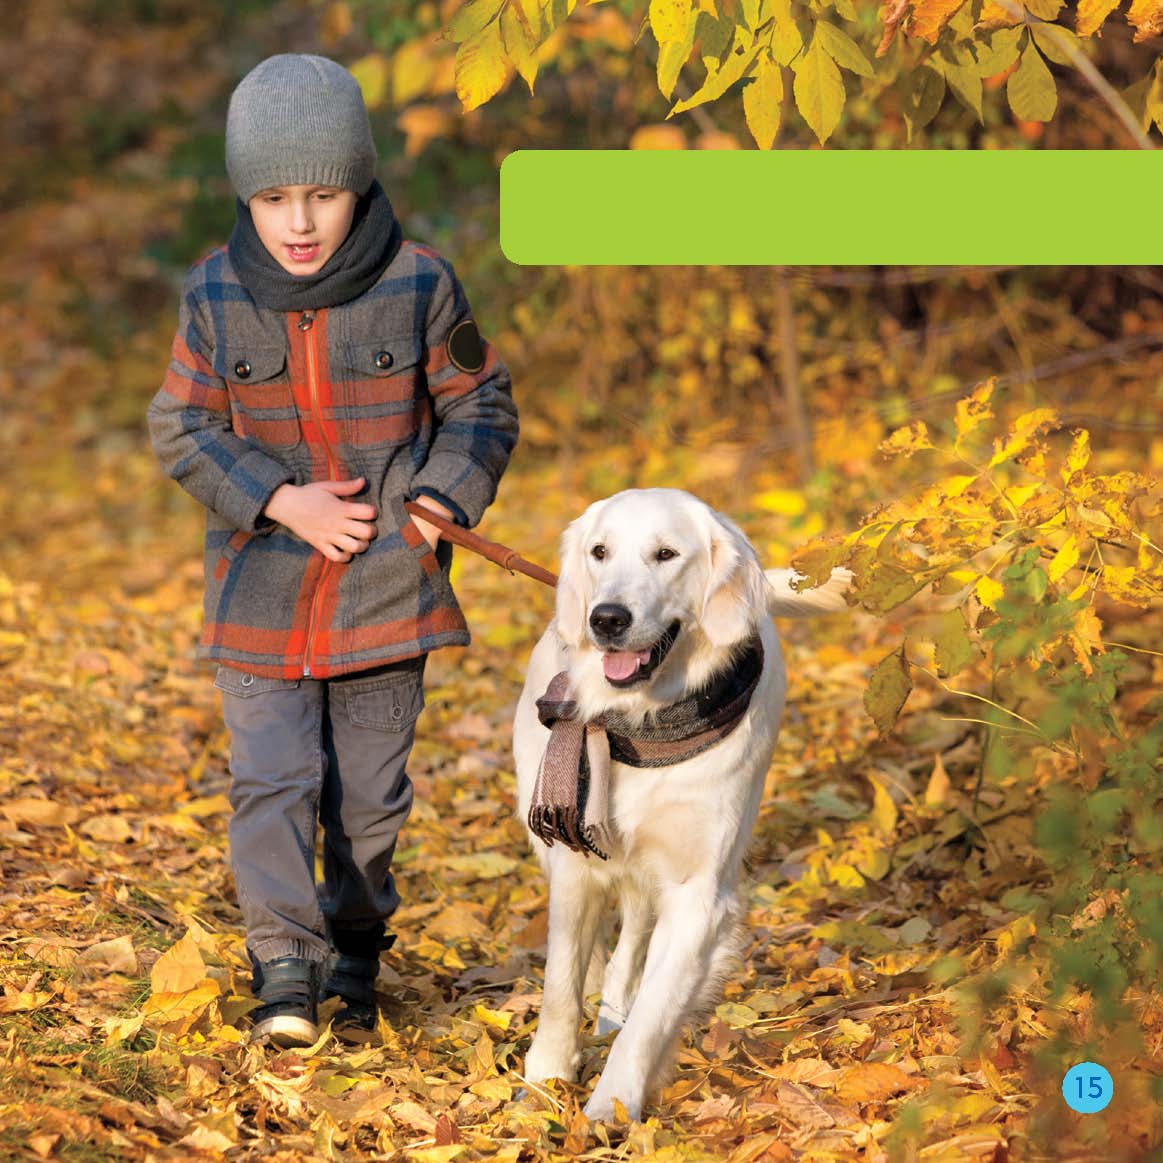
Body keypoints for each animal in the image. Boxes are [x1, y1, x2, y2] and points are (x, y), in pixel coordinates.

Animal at [514, 488, 851, 1116]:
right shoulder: (574, 860)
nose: (606, 619)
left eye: (666, 554)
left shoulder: (698, 892)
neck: (645, 724)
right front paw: (544, 1082)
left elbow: (651, 1014)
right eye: (600, 552)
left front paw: (609, 1110)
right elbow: (559, 983)